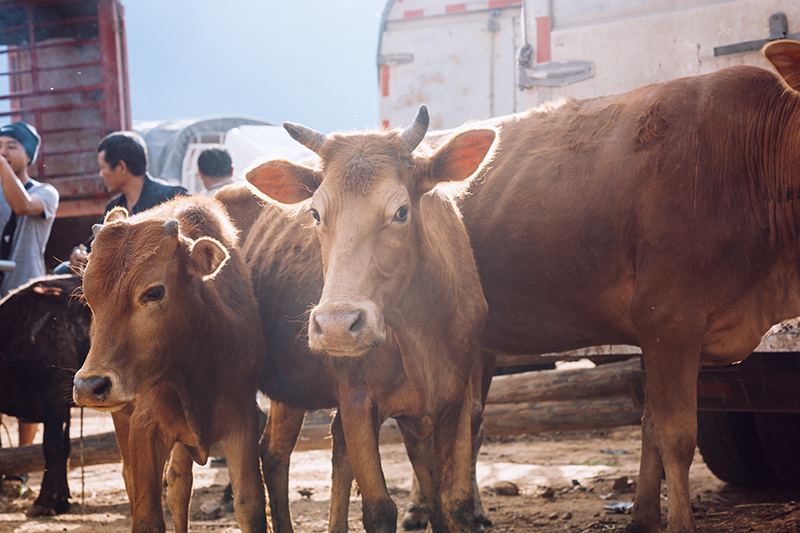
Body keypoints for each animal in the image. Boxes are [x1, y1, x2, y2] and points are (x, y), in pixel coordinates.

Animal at [72, 196, 266, 532]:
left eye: (153, 292)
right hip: (122, 416)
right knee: (136, 478)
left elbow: (249, 506)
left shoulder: (242, 419)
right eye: (88, 297)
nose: (88, 386)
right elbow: (147, 516)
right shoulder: (145, 428)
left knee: (178, 484)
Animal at [225, 105, 496, 532]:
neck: (419, 336)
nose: (337, 326)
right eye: (315, 213)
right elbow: (380, 509)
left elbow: (452, 503)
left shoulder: (454, 400)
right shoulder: (357, 402)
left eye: (401, 211)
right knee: (272, 455)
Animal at [446, 38, 800, 532]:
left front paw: (644, 517)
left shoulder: (671, 333)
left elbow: (651, 427)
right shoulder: (670, 317)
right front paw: (680, 524)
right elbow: (677, 435)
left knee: (466, 422)